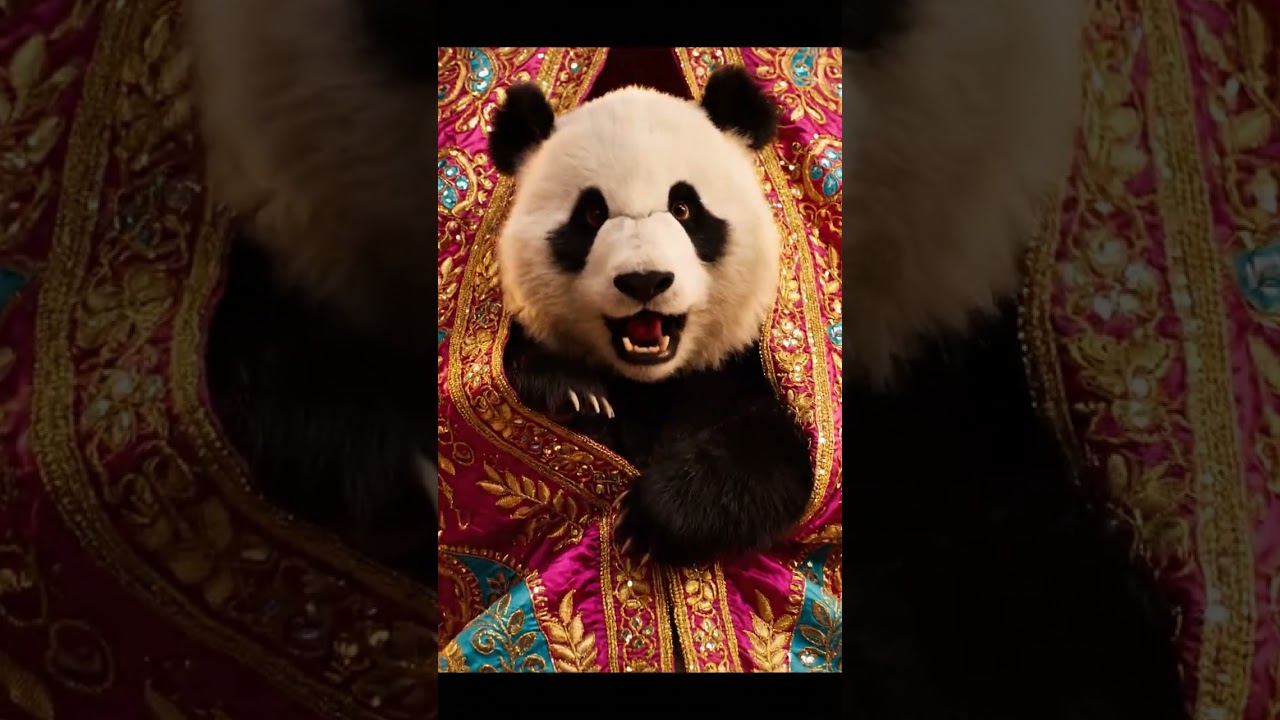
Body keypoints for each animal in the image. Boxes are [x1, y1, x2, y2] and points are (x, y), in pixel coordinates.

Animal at [487, 67, 814, 566]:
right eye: (592, 213)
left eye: (683, 208)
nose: (645, 281)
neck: (651, 381)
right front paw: (573, 394)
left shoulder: (746, 371)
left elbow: (780, 456)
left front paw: (648, 520)